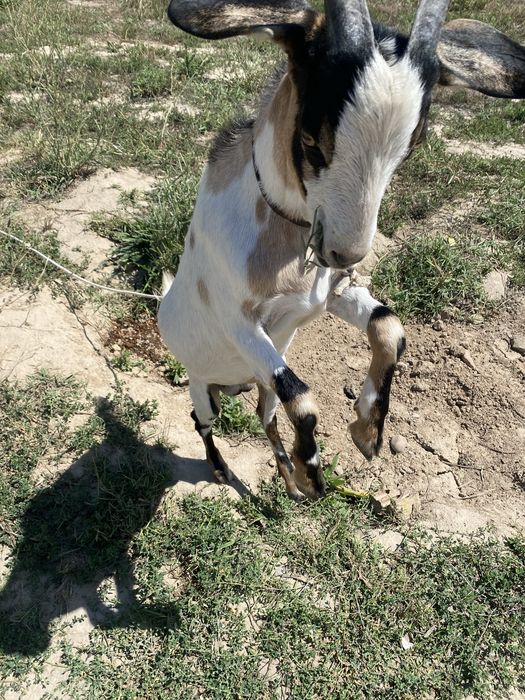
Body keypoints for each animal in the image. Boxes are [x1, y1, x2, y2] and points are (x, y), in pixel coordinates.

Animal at [159, 0, 525, 501]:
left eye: (410, 149)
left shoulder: (331, 294)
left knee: (264, 416)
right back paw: (225, 470)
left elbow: (390, 327)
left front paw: (367, 430)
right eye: (311, 141)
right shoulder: (239, 322)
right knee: (203, 420)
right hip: (202, 385)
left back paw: (290, 482)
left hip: (255, 382)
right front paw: (315, 471)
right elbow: (301, 395)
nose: (344, 254)